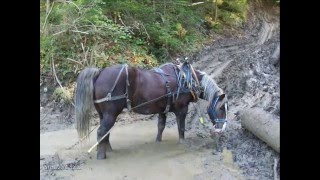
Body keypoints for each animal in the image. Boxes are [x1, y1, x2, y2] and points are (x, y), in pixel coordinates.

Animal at [75, 62, 228, 159]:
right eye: (221, 108)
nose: (220, 130)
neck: (186, 79)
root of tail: (100, 72)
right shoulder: (182, 109)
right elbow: (181, 128)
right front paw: (182, 144)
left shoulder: (162, 110)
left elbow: (161, 126)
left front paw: (158, 142)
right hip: (110, 114)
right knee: (101, 132)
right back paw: (102, 156)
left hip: (103, 114)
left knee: (105, 133)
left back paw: (108, 150)